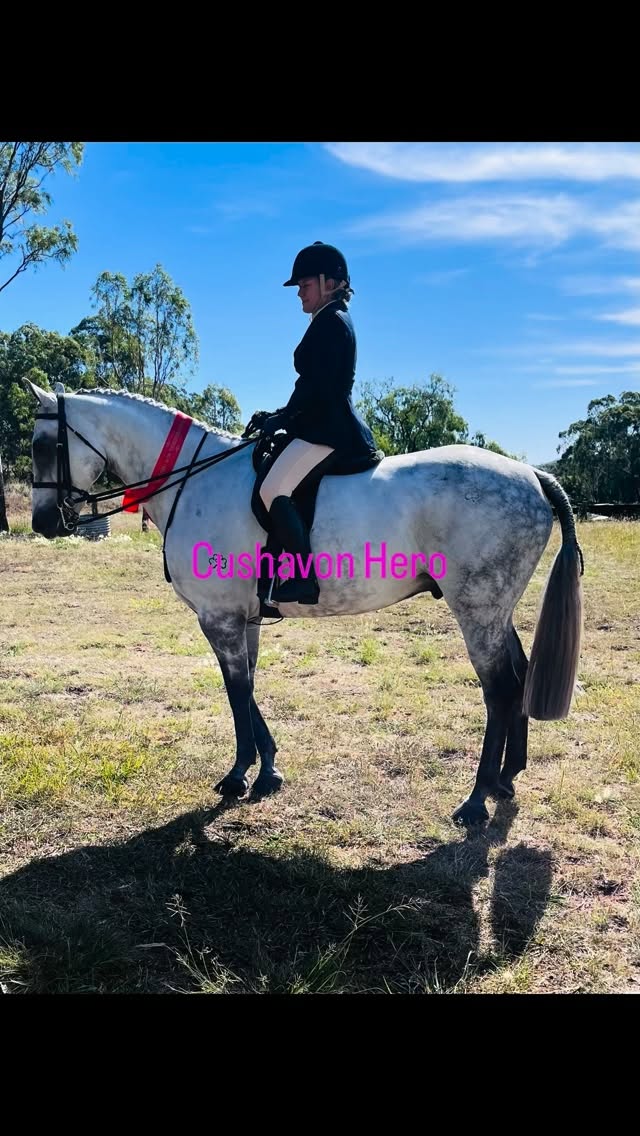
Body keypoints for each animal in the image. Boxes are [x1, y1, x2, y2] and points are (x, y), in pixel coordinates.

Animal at [25, 380, 584, 826]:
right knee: (519, 674)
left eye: (43, 444)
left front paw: (237, 776)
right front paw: (268, 770)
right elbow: (249, 686)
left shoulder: (217, 618)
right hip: (495, 610)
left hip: (477, 610)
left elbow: (236, 691)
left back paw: (476, 799)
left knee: (500, 690)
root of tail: (532, 475)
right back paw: (508, 778)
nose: (45, 523)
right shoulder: (243, 618)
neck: (194, 479)